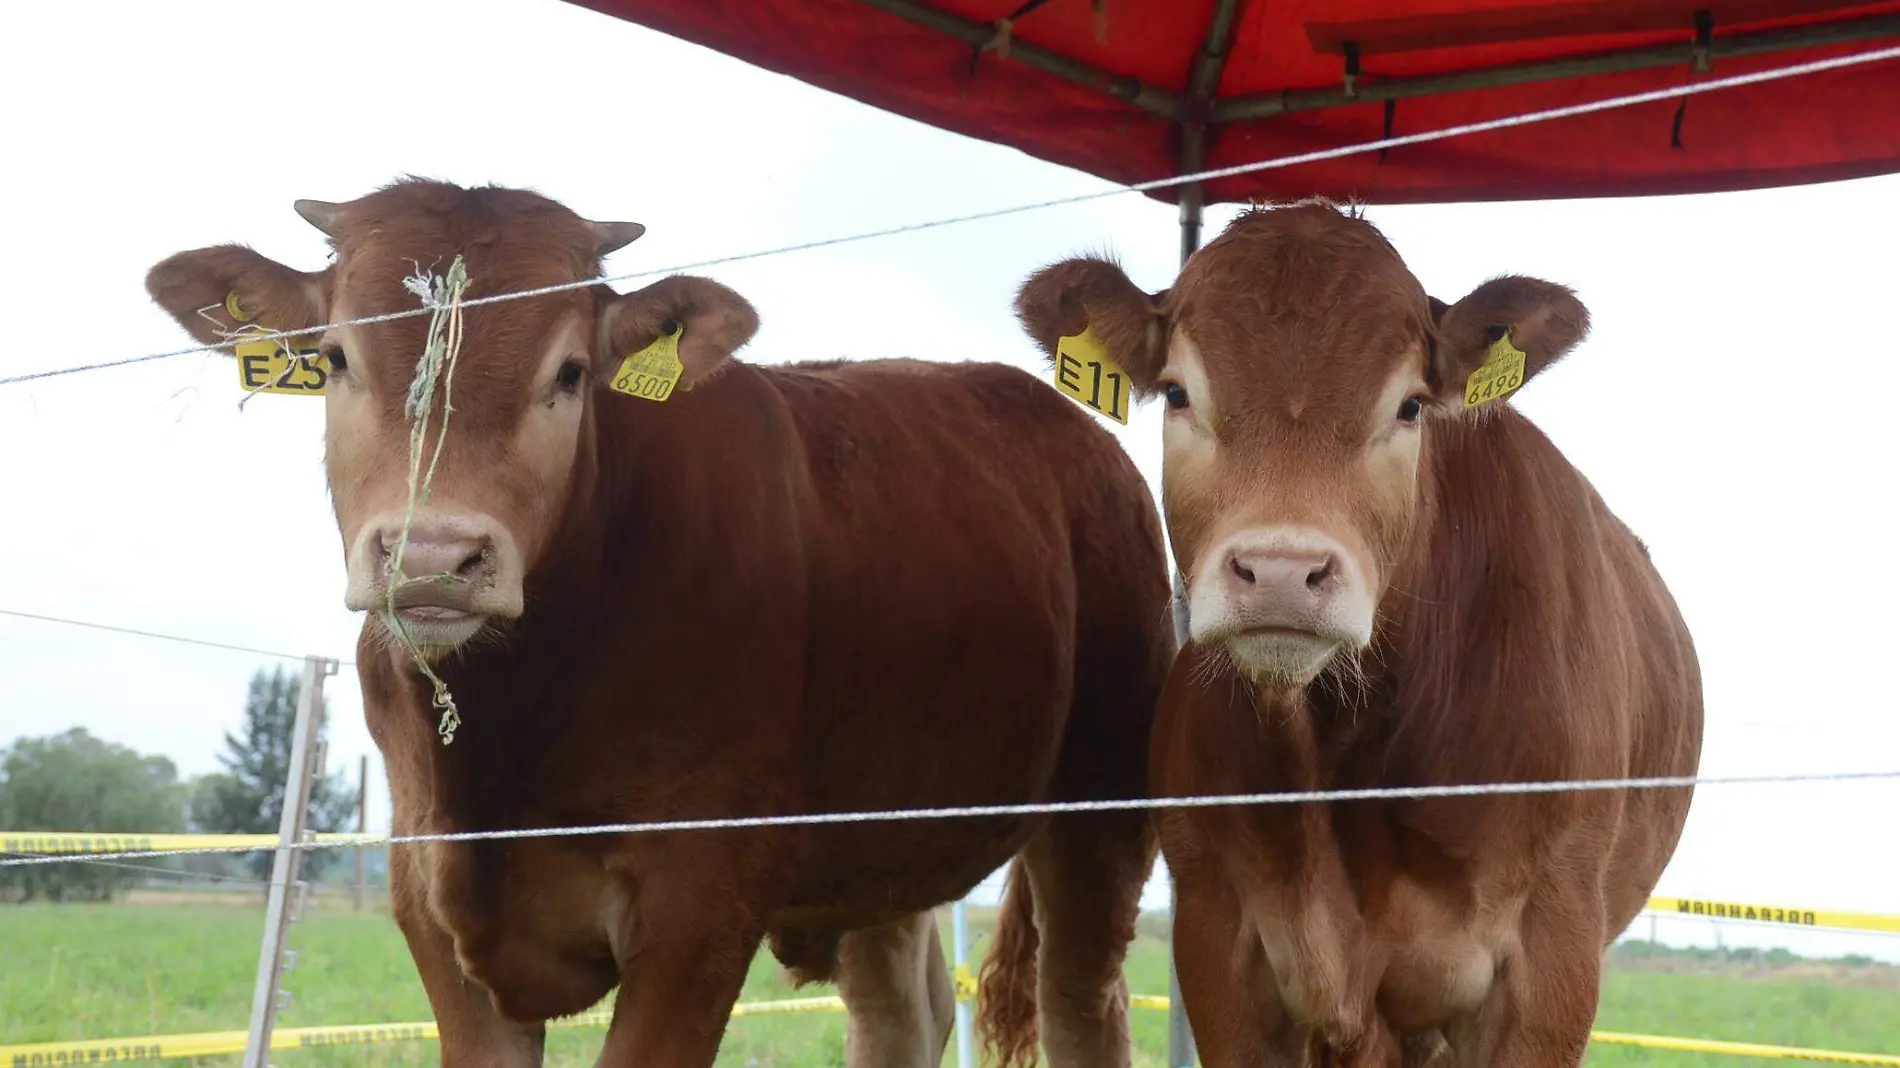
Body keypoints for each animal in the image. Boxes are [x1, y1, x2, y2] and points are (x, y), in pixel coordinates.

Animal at [148, 176, 1162, 1064]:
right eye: (335, 359)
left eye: (570, 372)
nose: (435, 556)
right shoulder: (429, 893)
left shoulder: (703, 898)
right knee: (900, 1013)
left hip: (1102, 807)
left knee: (1081, 1002)